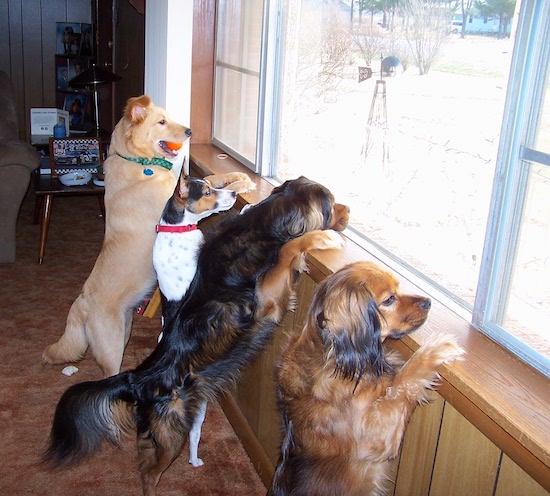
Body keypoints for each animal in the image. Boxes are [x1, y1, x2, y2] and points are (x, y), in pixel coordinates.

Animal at [42, 95, 256, 376]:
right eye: (162, 122)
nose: (190, 131)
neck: (139, 163)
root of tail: (81, 303)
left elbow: (212, 177)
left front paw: (238, 177)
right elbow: (212, 200)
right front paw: (242, 186)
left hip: (124, 330)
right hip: (111, 345)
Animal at [45, 176, 352, 494]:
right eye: (331, 204)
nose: (350, 210)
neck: (261, 226)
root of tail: (137, 377)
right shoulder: (267, 301)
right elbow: (289, 248)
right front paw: (323, 239)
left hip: (157, 431)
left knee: (143, 462)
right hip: (172, 430)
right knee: (151, 473)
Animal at [272, 262, 466, 494]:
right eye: (389, 299)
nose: (428, 302)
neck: (331, 356)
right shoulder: (378, 437)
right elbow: (402, 384)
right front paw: (436, 349)